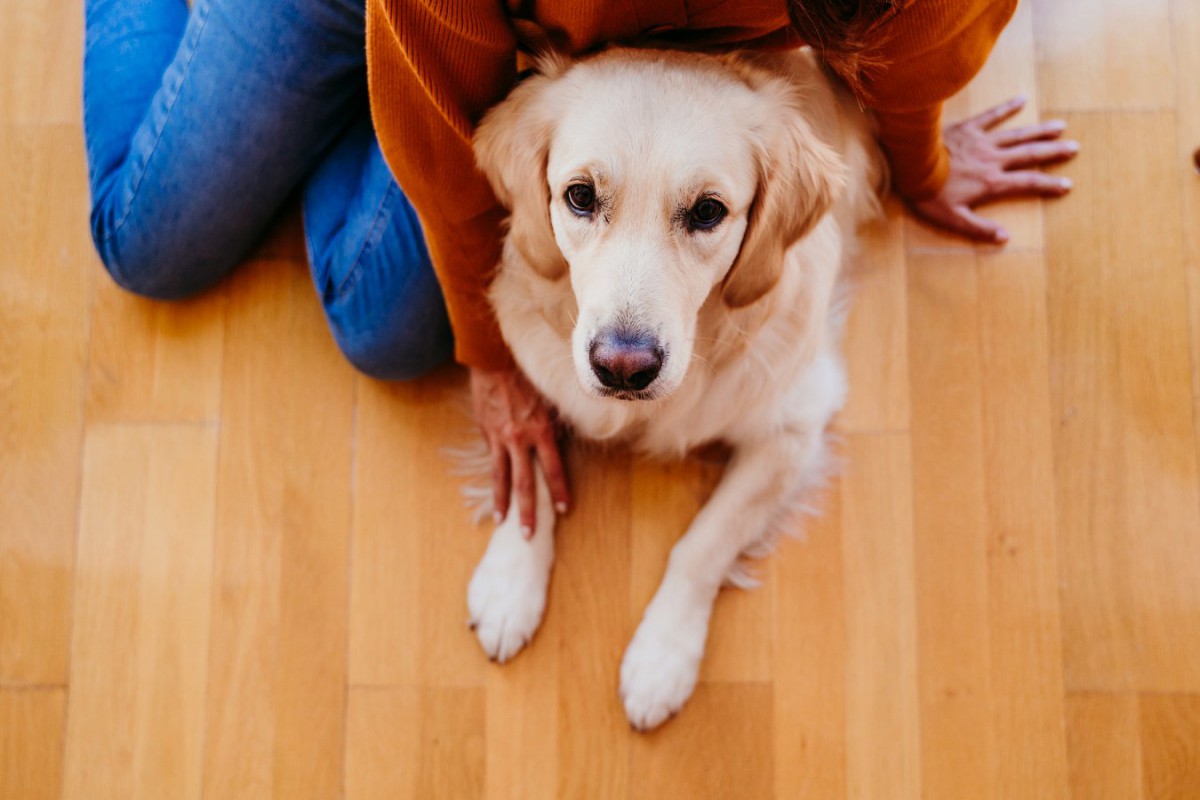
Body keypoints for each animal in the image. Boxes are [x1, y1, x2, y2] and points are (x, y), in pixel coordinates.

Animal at [468, 45, 883, 734]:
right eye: (580, 196)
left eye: (708, 211)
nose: (622, 369)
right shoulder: (542, 365)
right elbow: (529, 454)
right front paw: (508, 581)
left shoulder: (794, 425)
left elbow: (703, 543)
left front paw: (661, 658)